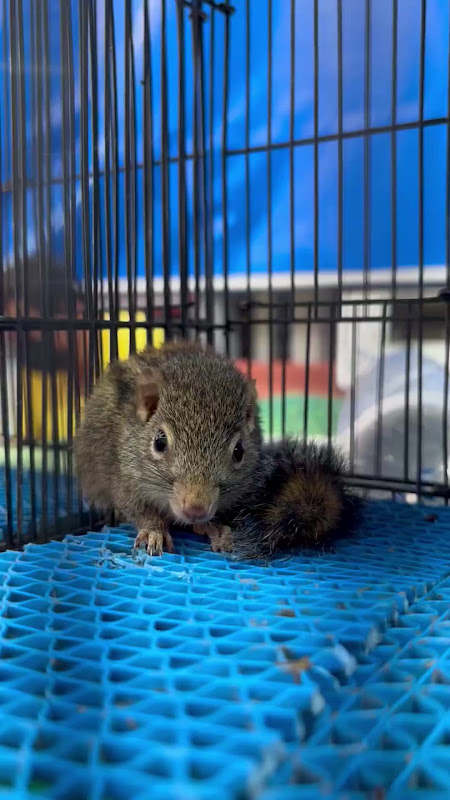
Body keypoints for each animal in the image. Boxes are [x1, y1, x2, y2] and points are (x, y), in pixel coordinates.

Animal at [74, 342, 358, 557]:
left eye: (239, 451)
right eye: (159, 442)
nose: (196, 509)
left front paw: (213, 527)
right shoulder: (122, 477)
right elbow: (138, 509)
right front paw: (154, 530)